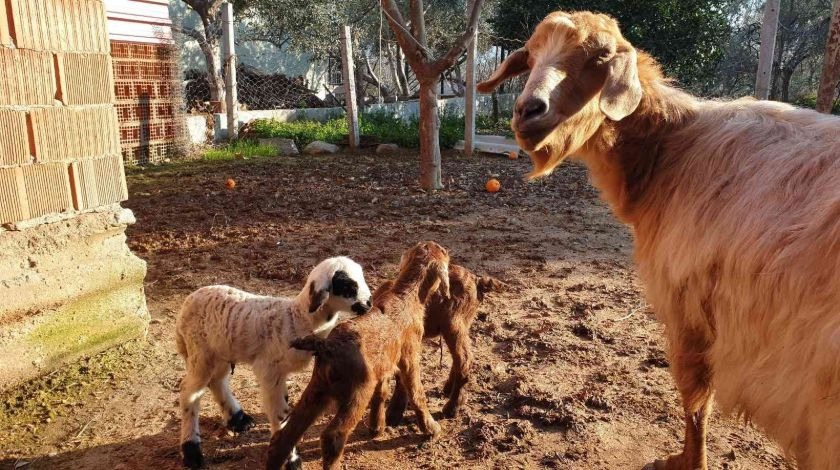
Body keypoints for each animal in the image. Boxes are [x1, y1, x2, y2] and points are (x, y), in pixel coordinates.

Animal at [174, 258, 370, 470]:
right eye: (347, 285)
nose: (369, 303)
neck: (297, 318)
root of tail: (187, 302)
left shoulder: (280, 374)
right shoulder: (269, 370)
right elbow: (280, 413)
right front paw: (290, 460)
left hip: (221, 351)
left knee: (217, 381)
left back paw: (239, 419)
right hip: (200, 351)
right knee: (189, 391)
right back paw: (191, 451)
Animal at [480, 10, 840, 470]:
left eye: (599, 58)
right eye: (531, 55)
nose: (528, 110)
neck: (671, 148)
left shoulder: (688, 308)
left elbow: (696, 400)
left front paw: (689, 460)